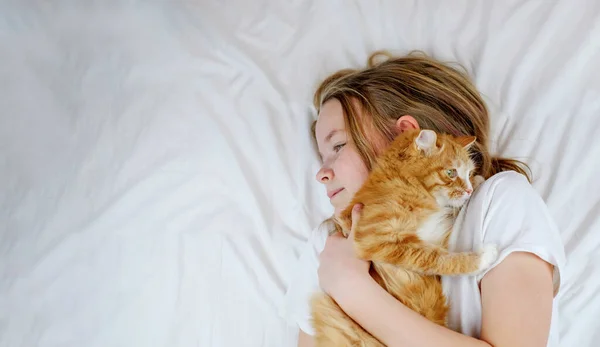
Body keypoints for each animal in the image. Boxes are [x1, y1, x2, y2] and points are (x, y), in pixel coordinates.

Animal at [310, 129, 496, 346]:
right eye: (451, 173)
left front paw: (477, 182)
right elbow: (439, 258)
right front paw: (483, 258)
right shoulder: (380, 240)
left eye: (468, 173)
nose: (468, 190)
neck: (404, 182)